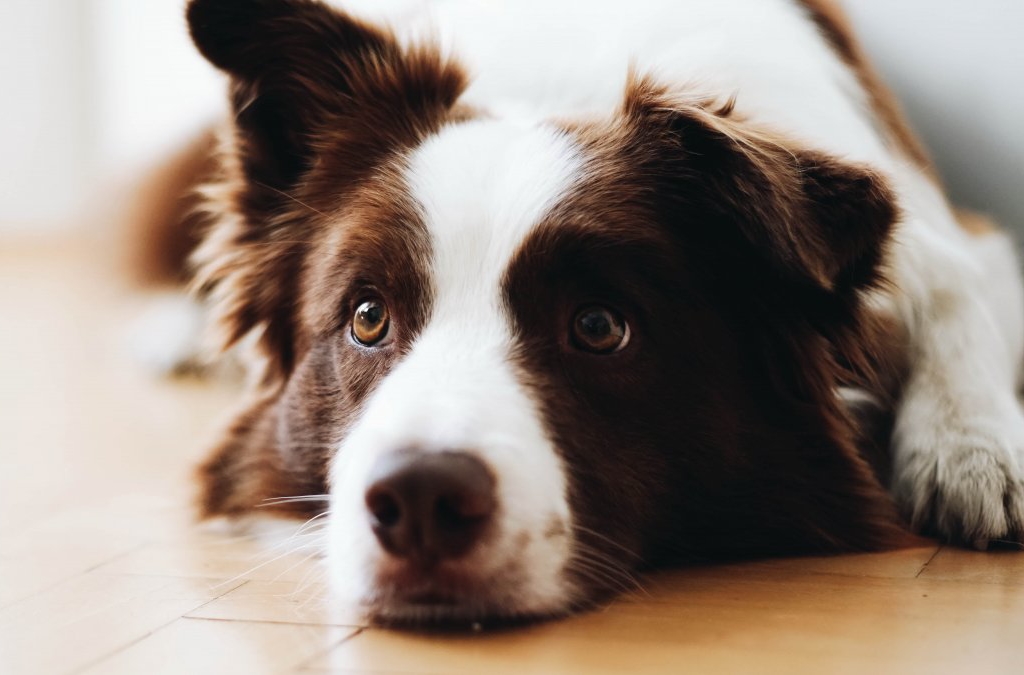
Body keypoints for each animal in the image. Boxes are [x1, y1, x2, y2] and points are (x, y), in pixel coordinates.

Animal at [155, 0, 1024, 622]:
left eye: (600, 326)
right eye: (368, 317)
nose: (421, 500)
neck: (556, 90)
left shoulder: (955, 239)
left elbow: (961, 296)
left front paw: (974, 448)